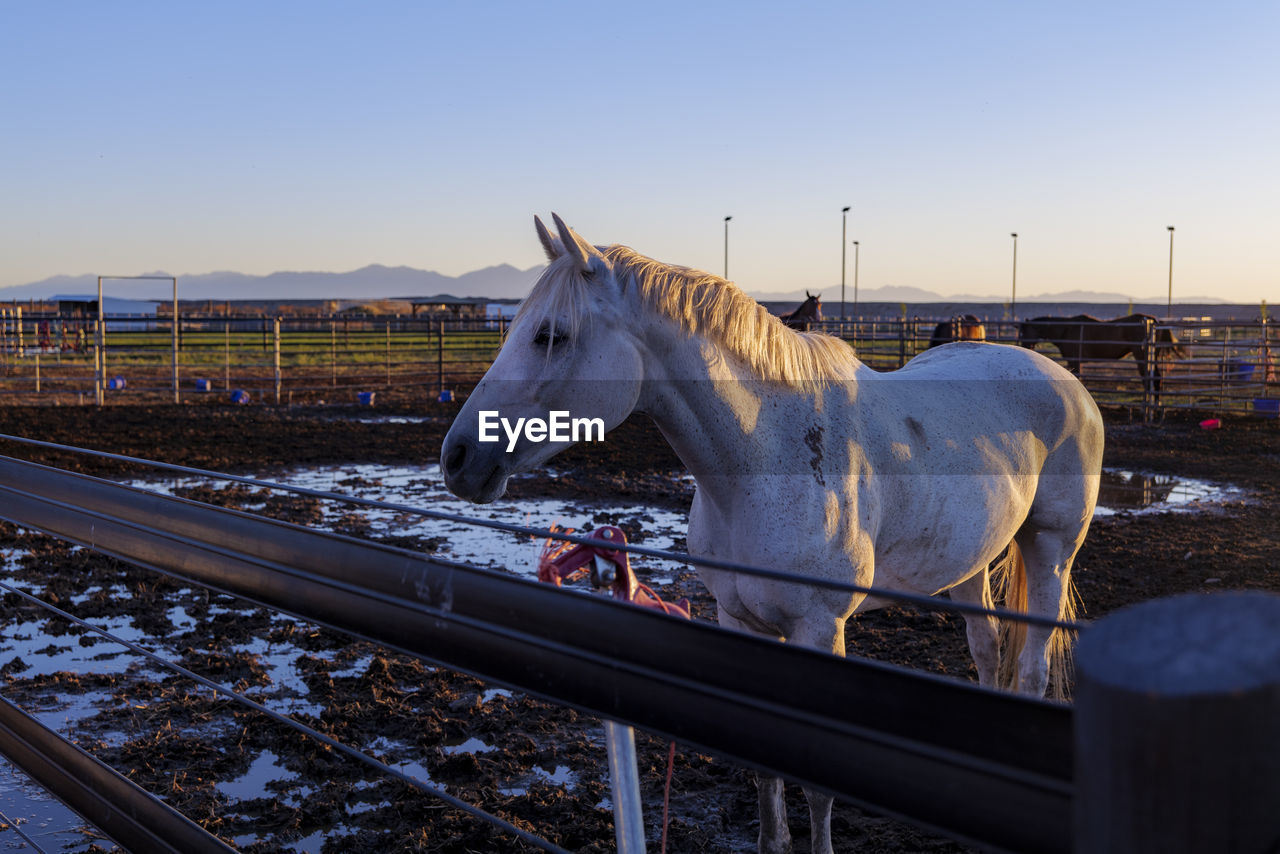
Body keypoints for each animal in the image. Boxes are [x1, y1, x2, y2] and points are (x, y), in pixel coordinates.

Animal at [440, 215, 1100, 854]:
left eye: (550, 335)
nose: (457, 457)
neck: (763, 459)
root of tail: (1067, 382)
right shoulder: (739, 620)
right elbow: (762, 766)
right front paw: (771, 839)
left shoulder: (820, 629)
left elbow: (818, 781)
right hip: (970, 561)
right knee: (987, 651)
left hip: (1050, 550)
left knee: (1034, 667)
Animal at [1013, 313, 1182, 394]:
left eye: (1024, 332)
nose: (1025, 347)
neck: (1066, 329)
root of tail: (1154, 321)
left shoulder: (1074, 359)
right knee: (1156, 379)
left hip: (1141, 357)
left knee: (1150, 379)